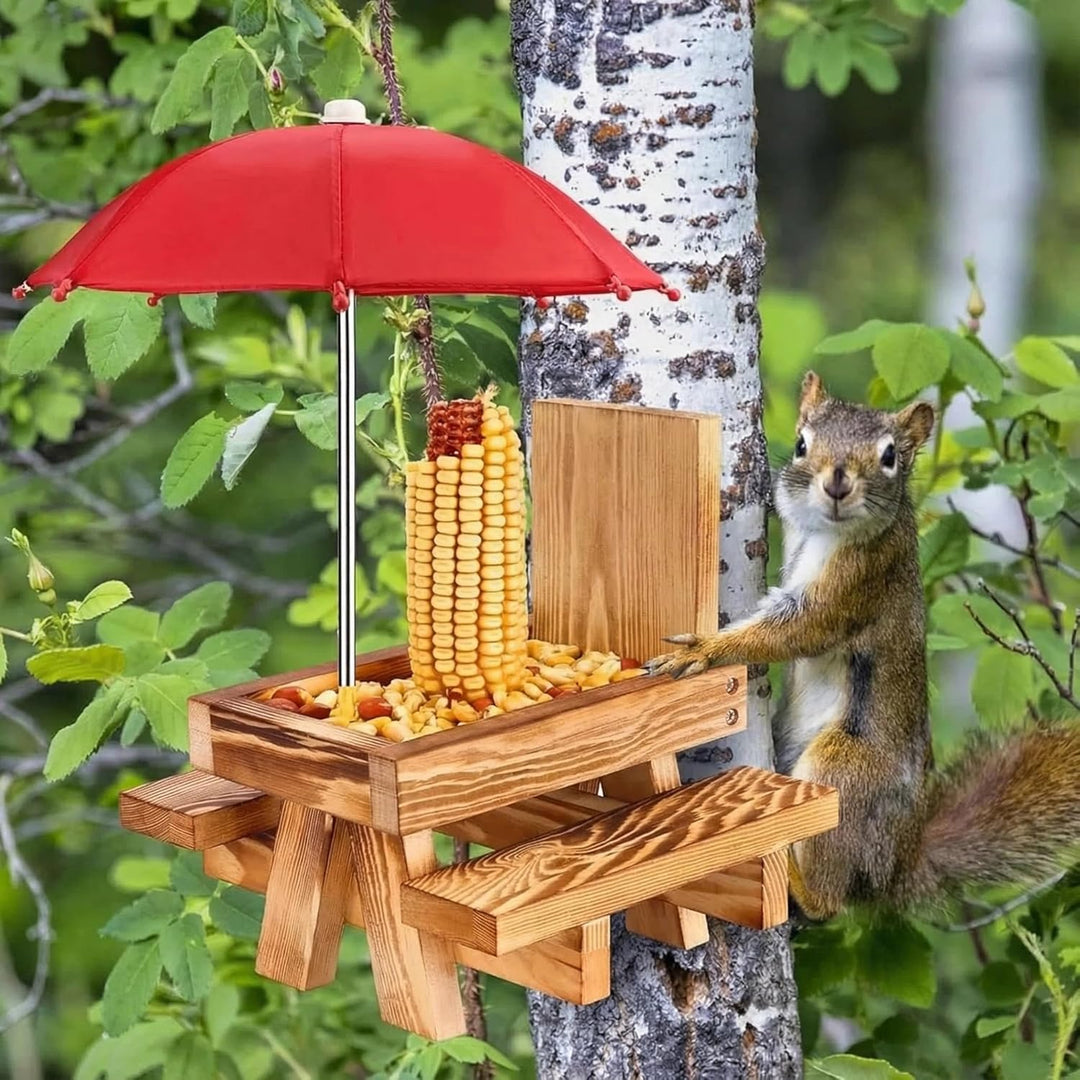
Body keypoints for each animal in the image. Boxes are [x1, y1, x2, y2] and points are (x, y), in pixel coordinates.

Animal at [648, 371, 1080, 920]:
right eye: (802, 444)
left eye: (890, 455)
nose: (837, 482)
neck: (823, 530)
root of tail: (895, 865)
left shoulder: (861, 578)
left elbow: (799, 629)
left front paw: (703, 650)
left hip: (845, 769)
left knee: (830, 902)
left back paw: (798, 880)